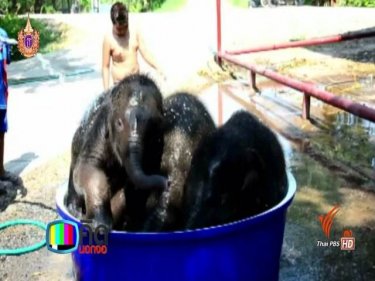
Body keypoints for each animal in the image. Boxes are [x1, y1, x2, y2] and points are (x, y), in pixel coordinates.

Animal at [66, 73, 167, 229]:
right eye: (119, 123)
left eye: (154, 127)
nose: (166, 182)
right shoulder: (100, 128)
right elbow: (88, 167)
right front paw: (100, 223)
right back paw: (74, 211)